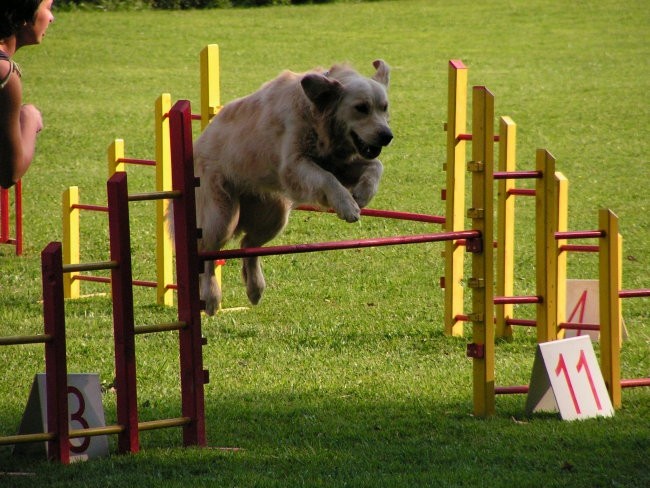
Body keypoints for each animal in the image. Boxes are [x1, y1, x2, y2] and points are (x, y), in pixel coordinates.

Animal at [192, 61, 392, 314]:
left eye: (384, 108)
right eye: (361, 108)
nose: (387, 136)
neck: (316, 114)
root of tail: (197, 144)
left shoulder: (337, 163)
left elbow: (376, 165)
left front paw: (363, 194)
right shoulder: (295, 165)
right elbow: (327, 178)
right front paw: (347, 206)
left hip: (275, 214)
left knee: (249, 245)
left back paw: (255, 288)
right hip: (222, 215)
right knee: (207, 253)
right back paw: (211, 298)